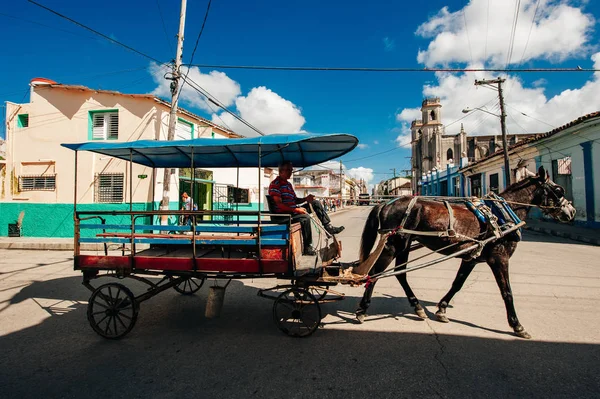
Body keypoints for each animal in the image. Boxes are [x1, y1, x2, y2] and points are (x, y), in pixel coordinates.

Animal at [356, 167, 576, 340]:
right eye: (558, 190)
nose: (571, 212)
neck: (501, 215)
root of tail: (386, 203)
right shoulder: (499, 258)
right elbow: (507, 292)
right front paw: (517, 325)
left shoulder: (472, 257)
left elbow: (458, 283)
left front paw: (442, 309)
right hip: (392, 245)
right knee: (374, 273)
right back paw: (362, 309)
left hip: (404, 244)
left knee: (400, 274)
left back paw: (417, 307)